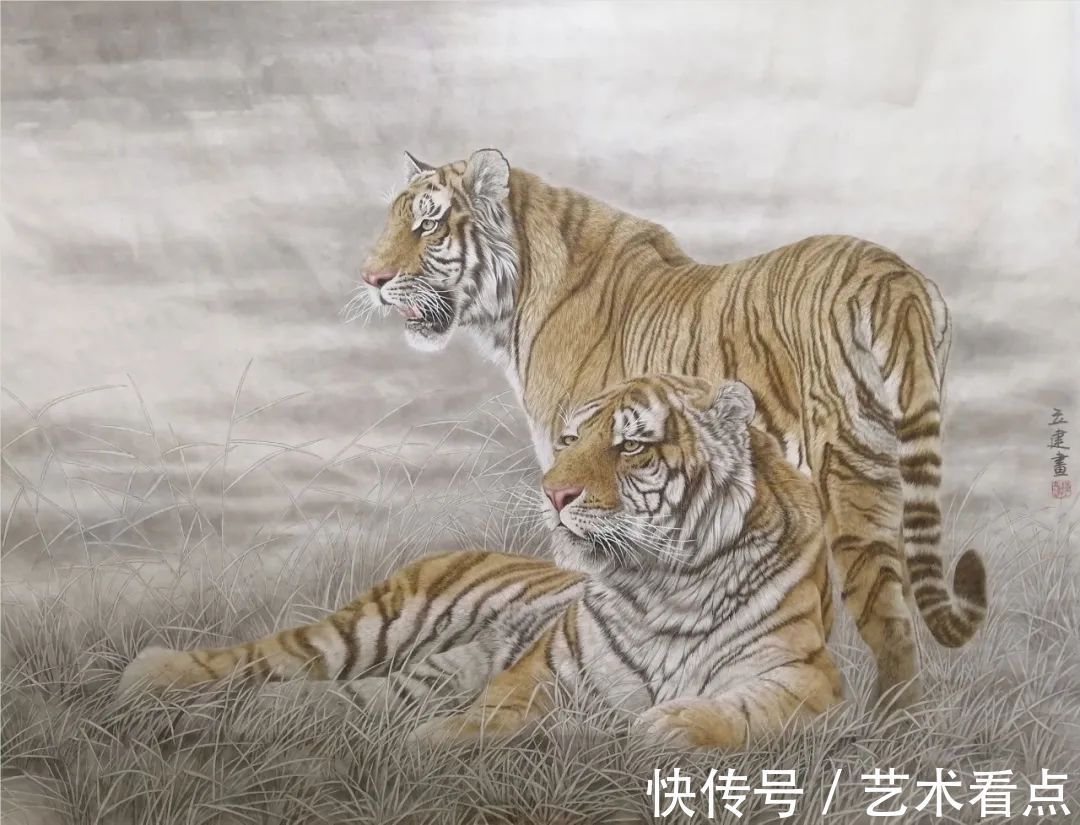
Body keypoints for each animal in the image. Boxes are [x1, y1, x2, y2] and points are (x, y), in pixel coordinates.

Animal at [119, 375, 839, 750]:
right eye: (570, 439)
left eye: (632, 445)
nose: (552, 492)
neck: (668, 584)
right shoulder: (540, 674)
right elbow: (486, 720)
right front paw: (431, 747)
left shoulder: (805, 678)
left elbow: (743, 710)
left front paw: (671, 724)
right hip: (370, 629)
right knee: (261, 655)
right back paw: (153, 675)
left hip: (414, 673)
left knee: (333, 698)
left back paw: (252, 717)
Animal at [356, 148, 988, 708]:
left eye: (428, 224)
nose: (370, 279)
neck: (517, 291)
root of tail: (896, 278)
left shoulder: (577, 462)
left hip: (848, 464)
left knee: (881, 604)